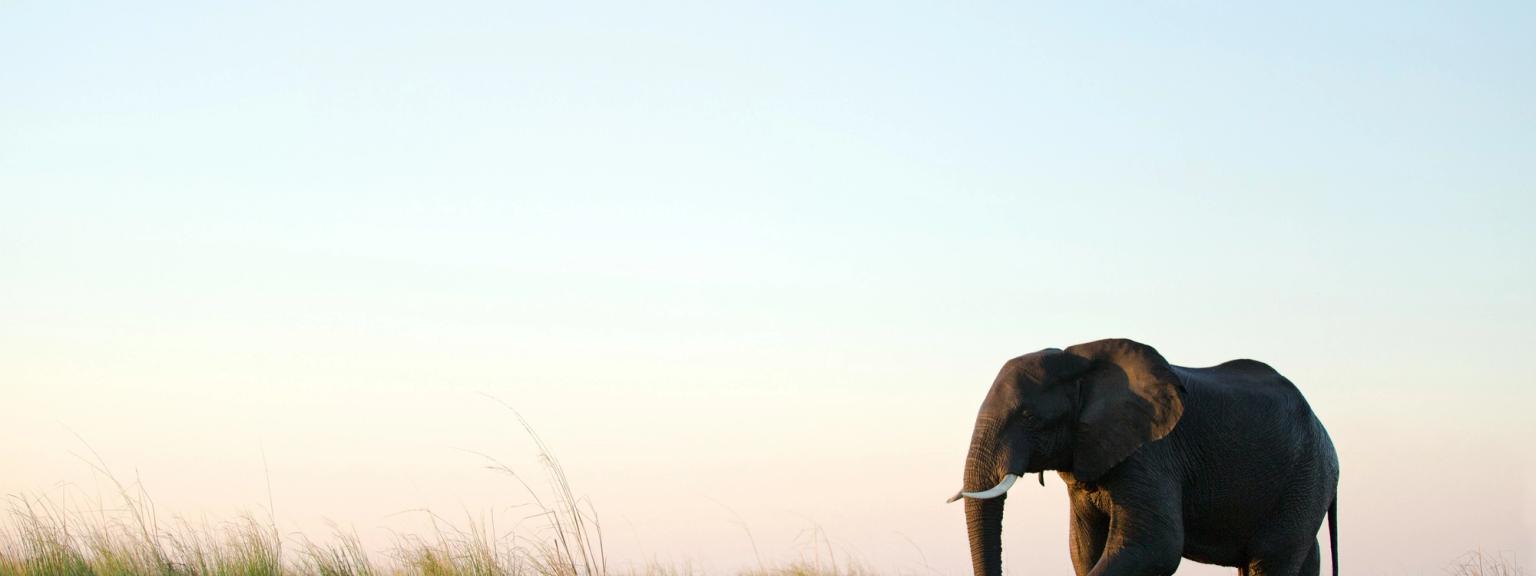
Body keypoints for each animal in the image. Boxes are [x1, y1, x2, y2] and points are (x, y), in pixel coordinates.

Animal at [947, 338, 1338, 576]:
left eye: (1029, 417)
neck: (1082, 363)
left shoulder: (1152, 453)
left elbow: (1155, 545)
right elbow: (1083, 548)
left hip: (1306, 476)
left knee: (1270, 557)